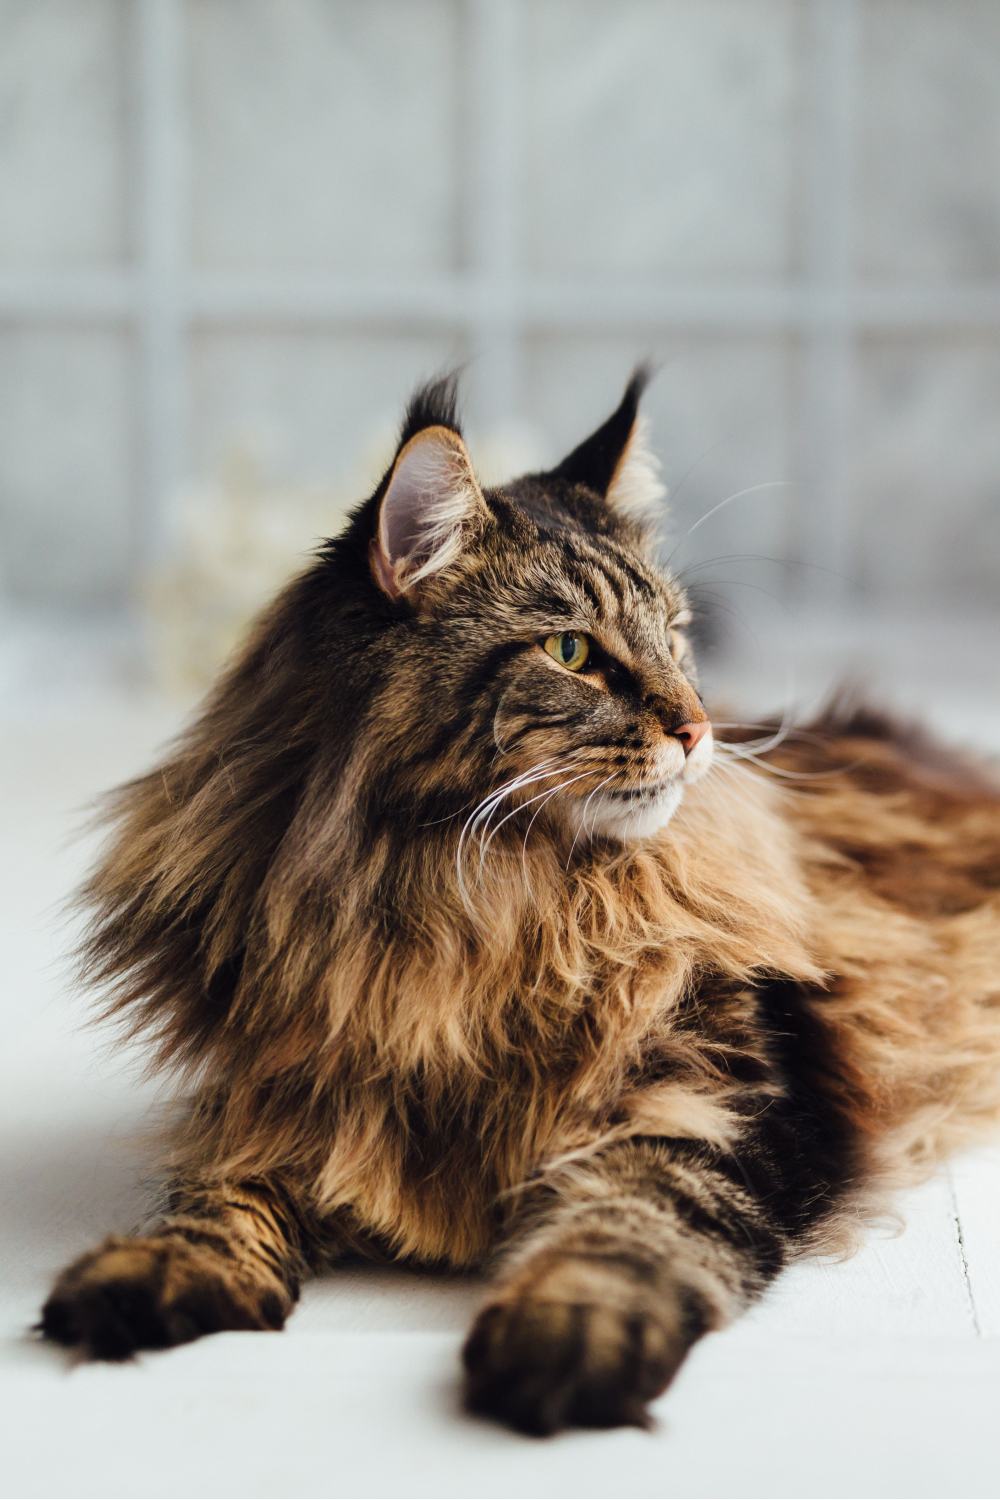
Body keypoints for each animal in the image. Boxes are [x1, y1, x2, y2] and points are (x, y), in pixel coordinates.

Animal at [43, 372, 1000, 1428]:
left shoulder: (726, 1101)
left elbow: (629, 1225)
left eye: (675, 637)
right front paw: (155, 1274)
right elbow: (218, 1201)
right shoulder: (289, 1095)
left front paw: (568, 1334)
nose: (699, 730)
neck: (473, 909)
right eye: (572, 651)